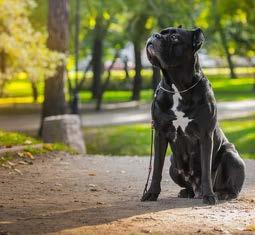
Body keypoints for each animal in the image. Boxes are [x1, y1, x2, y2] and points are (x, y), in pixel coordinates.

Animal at [141, 26, 245, 205]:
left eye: (174, 37)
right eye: (162, 32)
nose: (155, 35)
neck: (178, 87)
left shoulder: (205, 135)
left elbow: (206, 169)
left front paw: (209, 196)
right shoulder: (160, 133)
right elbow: (156, 168)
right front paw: (151, 193)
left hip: (232, 156)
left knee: (231, 184)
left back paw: (223, 193)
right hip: (173, 164)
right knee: (185, 182)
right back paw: (187, 192)